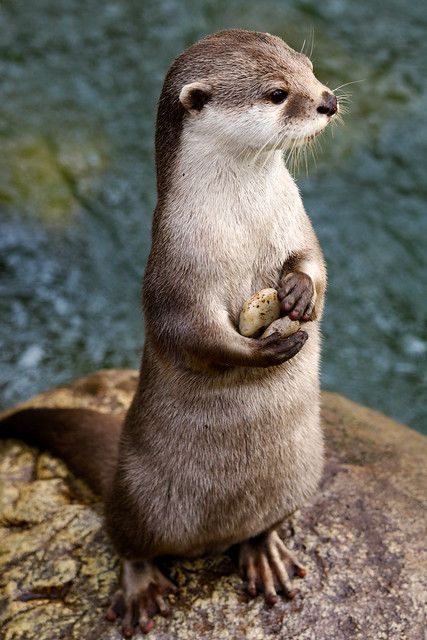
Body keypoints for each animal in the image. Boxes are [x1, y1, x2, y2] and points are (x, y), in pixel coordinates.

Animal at [0, 28, 338, 636]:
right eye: (279, 93)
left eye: (308, 67)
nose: (328, 100)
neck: (242, 221)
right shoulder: (174, 271)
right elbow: (194, 336)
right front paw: (267, 347)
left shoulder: (298, 223)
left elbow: (315, 263)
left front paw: (300, 292)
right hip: (138, 499)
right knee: (126, 540)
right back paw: (139, 590)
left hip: (302, 474)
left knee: (260, 525)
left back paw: (264, 552)